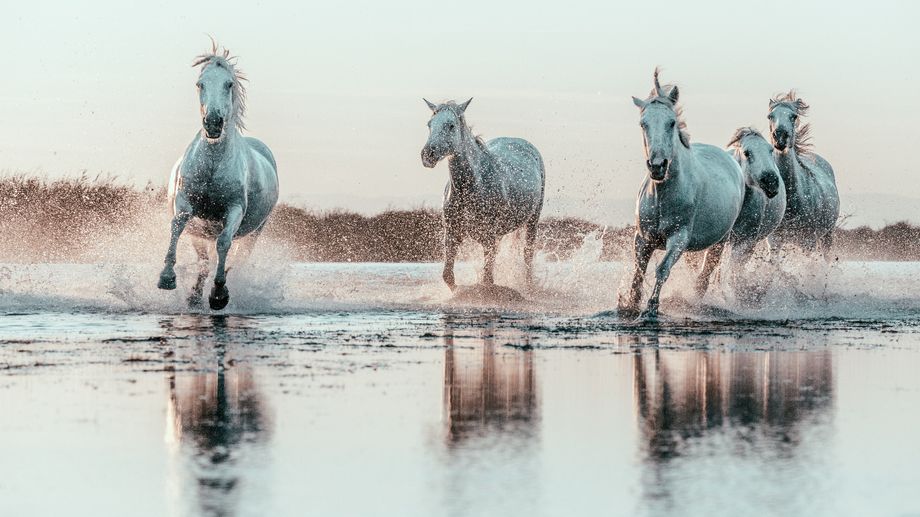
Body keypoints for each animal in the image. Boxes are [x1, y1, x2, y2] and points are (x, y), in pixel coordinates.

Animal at [157, 42, 279, 310]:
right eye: (200, 84)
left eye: (229, 84)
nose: (213, 123)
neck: (212, 164)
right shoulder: (185, 203)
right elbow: (176, 226)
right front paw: (167, 278)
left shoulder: (234, 209)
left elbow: (224, 243)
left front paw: (219, 294)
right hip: (200, 233)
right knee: (204, 260)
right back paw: (193, 297)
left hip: (255, 231)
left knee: (234, 257)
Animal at [420, 98, 545, 292]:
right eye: (429, 124)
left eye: (451, 125)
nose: (427, 155)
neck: (469, 188)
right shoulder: (452, 234)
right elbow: (448, 276)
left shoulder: (488, 238)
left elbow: (487, 280)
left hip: (533, 220)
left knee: (528, 254)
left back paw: (529, 286)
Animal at [618, 69, 745, 320]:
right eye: (643, 124)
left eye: (671, 122)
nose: (657, 166)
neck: (662, 196)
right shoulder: (643, 238)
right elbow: (638, 272)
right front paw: (630, 304)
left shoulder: (679, 238)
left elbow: (662, 270)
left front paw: (651, 308)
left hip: (720, 241)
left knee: (705, 275)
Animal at [767, 91, 839, 258]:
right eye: (770, 116)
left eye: (793, 116)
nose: (780, 137)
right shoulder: (774, 242)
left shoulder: (808, 242)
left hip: (827, 236)